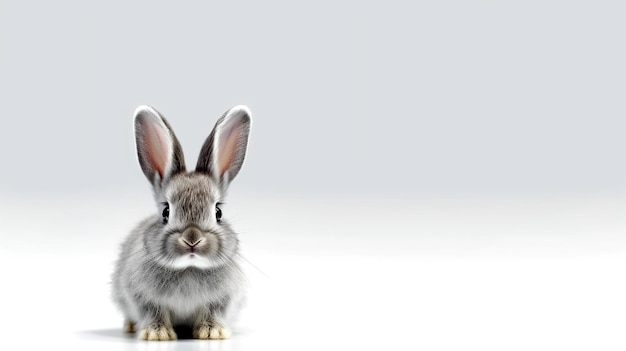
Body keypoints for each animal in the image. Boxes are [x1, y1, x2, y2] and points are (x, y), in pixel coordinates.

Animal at [112, 104, 251, 340]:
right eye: (166, 211)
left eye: (218, 212)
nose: (192, 239)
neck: (189, 268)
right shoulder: (142, 296)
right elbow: (153, 311)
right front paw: (157, 334)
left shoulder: (222, 299)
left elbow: (213, 311)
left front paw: (212, 332)